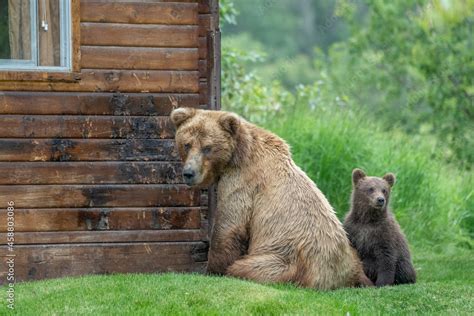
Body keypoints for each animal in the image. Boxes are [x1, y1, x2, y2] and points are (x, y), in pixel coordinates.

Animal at [170, 108, 370, 288]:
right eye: (187, 144)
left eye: (207, 148)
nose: (189, 173)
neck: (237, 156)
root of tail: (334, 278)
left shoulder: (242, 182)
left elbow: (229, 225)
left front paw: (212, 269)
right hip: (350, 254)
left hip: (286, 258)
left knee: (247, 267)